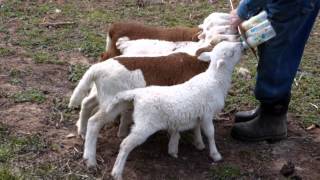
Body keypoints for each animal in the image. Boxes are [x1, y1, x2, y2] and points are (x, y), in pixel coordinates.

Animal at [97, 41, 242, 179]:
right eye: (232, 53)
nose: (241, 44)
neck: (215, 80)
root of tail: (137, 94)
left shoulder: (199, 114)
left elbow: (195, 128)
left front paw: (194, 144)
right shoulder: (207, 113)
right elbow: (211, 133)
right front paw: (215, 154)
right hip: (145, 125)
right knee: (125, 144)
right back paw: (116, 172)